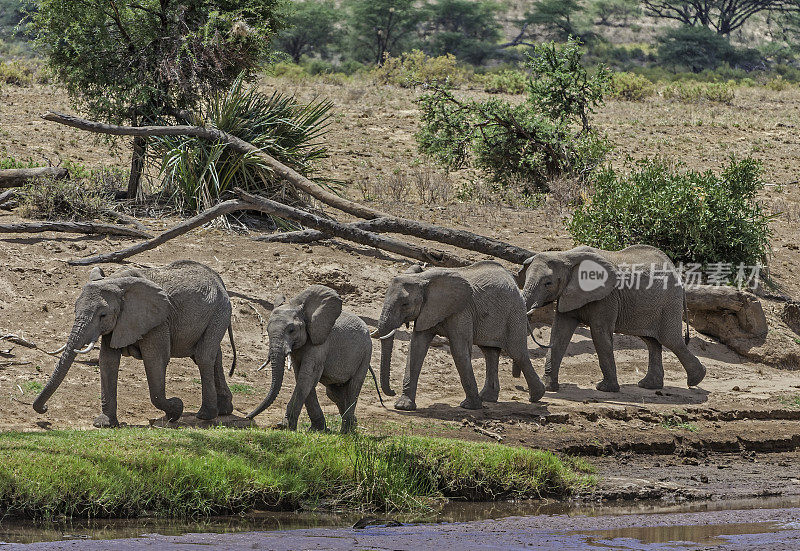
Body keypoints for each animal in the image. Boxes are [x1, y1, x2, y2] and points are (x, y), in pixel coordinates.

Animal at [32, 260, 236, 424]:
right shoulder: (119, 323)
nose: (45, 410)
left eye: (103, 315)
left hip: (220, 310)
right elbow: (108, 361)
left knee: (203, 357)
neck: (116, 281)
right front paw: (104, 423)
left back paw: (205, 415)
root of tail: (220, 281)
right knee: (212, 356)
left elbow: (155, 360)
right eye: (75, 310)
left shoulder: (157, 321)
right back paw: (224, 411)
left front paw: (176, 409)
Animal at [248, 284, 374, 436]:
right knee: (334, 393)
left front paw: (284, 426)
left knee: (353, 387)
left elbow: (307, 377)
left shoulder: (320, 343)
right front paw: (317, 429)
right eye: (267, 330)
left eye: (291, 330)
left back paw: (346, 432)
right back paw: (353, 426)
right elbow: (302, 378)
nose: (248, 417)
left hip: (366, 353)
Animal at [372, 260, 548, 412]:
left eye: (405, 304)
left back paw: (536, 396)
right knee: (490, 352)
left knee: (517, 353)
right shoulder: (427, 311)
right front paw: (403, 406)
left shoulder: (461, 311)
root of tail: (513, 280)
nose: (392, 392)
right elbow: (416, 348)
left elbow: (458, 350)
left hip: (514, 313)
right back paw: (487, 398)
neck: (423, 278)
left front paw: (469, 407)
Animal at [516, 245, 704, 392]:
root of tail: (677, 274)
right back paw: (649, 385)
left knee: (670, 340)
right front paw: (549, 387)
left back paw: (696, 379)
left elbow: (599, 333)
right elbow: (559, 332)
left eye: (548, 283)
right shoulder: (568, 294)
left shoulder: (607, 297)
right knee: (652, 341)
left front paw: (605, 389)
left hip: (669, 303)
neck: (566, 255)